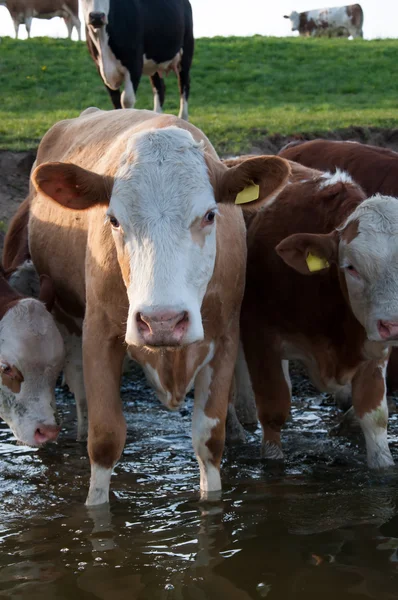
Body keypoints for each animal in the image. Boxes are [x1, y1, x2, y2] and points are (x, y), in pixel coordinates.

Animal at [230, 158, 398, 468]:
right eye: (351, 267)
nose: (393, 325)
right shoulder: (261, 335)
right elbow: (274, 409)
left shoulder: (374, 348)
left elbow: (374, 416)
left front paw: (382, 466)